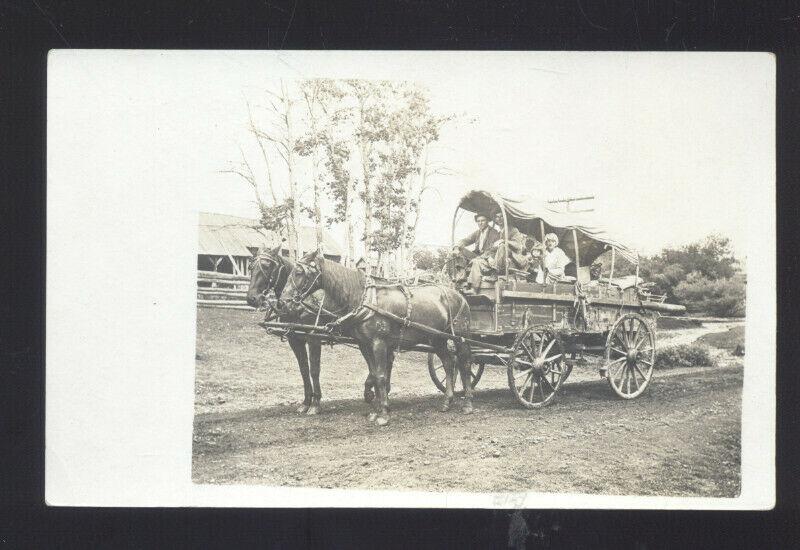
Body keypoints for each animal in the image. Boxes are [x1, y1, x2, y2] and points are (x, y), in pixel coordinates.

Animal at [244, 246, 382, 414]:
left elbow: (314, 370)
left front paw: (315, 404)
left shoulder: (313, 338)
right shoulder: (295, 339)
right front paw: (305, 402)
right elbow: (304, 370)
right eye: (251, 267)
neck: (301, 303)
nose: (252, 298)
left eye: (266, 266)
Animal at [280, 250, 476, 426]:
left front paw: (383, 414)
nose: (284, 301)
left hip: (460, 337)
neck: (365, 299)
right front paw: (376, 410)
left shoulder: (379, 343)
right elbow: (374, 375)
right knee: (449, 363)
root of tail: (459, 296)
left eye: (299, 272)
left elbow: (381, 376)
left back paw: (467, 403)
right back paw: (447, 401)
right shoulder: (364, 344)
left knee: (464, 364)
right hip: (437, 338)